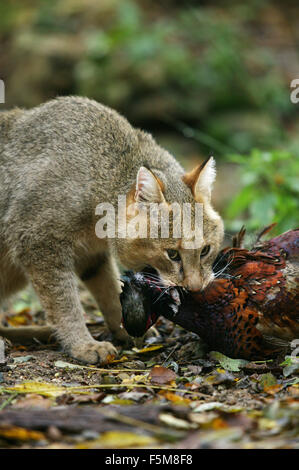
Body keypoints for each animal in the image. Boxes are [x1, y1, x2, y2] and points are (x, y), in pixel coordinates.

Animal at [0, 96, 224, 364]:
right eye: (172, 255)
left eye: (205, 250)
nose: (195, 288)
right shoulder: (38, 243)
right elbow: (65, 302)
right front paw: (82, 344)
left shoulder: (92, 255)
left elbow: (109, 291)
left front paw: (125, 326)